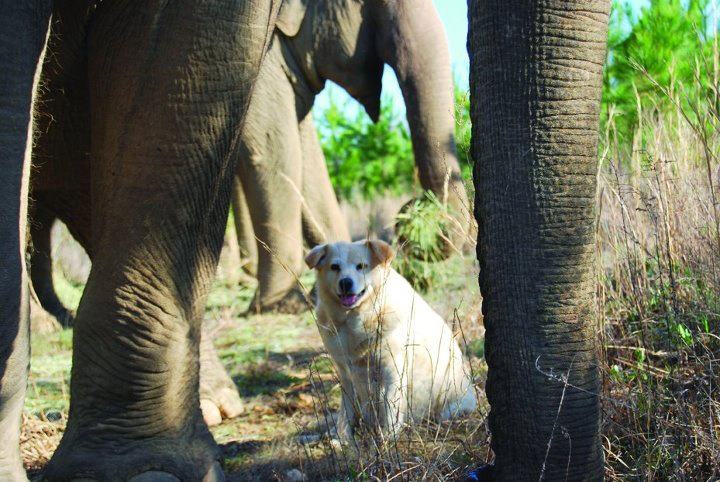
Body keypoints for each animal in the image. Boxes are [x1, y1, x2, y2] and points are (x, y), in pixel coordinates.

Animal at [306, 238, 478, 440]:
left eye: (361, 266)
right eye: (335, 267)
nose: (346, 283)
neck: (358, 318)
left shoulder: (392, 369)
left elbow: (390, 408)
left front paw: (388, 438)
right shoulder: (345, 373)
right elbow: (346, 412)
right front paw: (344, 439)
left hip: (448, 404)